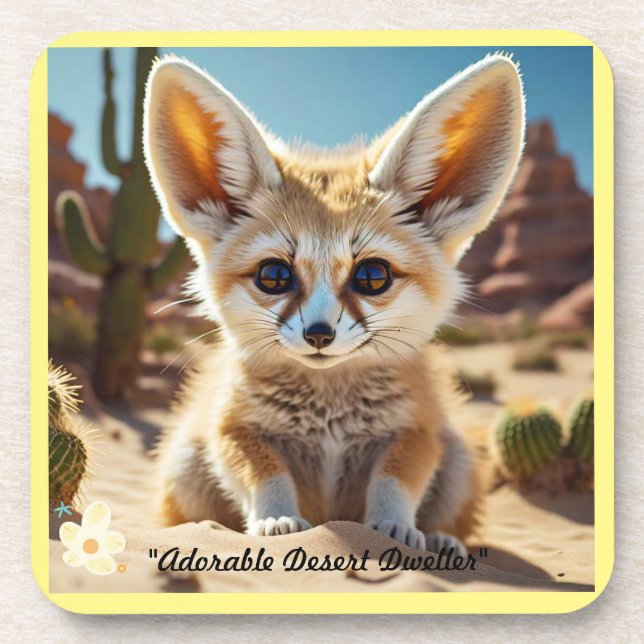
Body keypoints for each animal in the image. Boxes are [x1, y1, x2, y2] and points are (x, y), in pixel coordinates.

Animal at [143, 52, 525, 554]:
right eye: (274, 276)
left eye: (372, 277)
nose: (319, 334)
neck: (328, 415)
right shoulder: (233, 428)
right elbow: (265, 474)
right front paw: (278, 520)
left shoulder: (417, 431)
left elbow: (395, 480)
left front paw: (394, 527)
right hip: (186, 458)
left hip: (459, 458)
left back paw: (443, 540)